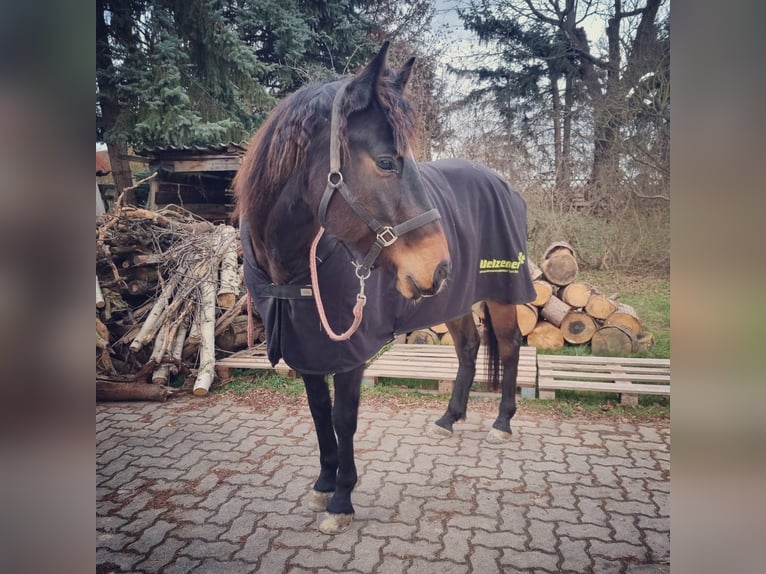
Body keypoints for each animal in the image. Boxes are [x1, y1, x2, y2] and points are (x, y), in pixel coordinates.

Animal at [234, 44, 536, 536]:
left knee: (508, 347)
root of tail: (505, 183)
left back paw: (502, 423)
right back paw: (449, 418)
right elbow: (319, 413)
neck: (294, 270)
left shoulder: (349, 355)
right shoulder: (309, 349)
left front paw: (342, 499)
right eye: (386, 162)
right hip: (453, 299)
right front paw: (323, 484)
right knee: (469, 347)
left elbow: (344, 418)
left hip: (502, 292)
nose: (440, 265)